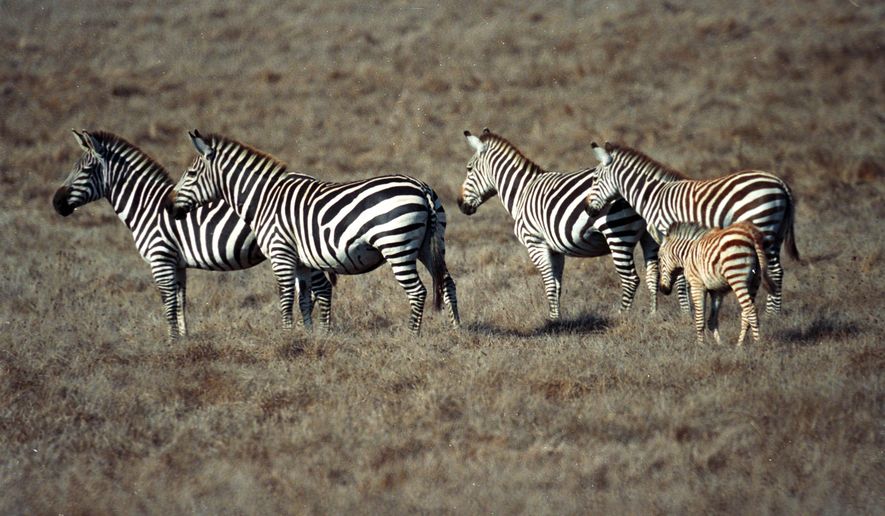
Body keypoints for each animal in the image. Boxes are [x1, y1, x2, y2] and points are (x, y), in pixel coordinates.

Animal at [52, 130, 329, 339]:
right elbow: (179, 300)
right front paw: (184, 338)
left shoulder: (160, 258)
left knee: (321, 288)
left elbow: (167, 300)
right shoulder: (177, 263)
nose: (56, 203)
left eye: (85, 171)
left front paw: (171, 342)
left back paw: (318, 334)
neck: (146, 207)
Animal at [165, 130, 460, 335]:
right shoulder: (301, 261)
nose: (168, 206)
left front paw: (287, 337)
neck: (263, 199)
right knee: (447, 282)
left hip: (397, 246)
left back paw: (413, 335)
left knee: (418, 291)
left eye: (190, 174)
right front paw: (308, 337)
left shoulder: (281, 254)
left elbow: (286, 298)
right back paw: (455, 330)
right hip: (430, 245)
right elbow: (305, 299)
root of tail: (421, 187)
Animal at [459, 129, 659, 321]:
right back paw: (653, 316)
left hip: (618, 232)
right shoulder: (555, 249)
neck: (522, 192)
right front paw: (557, 319)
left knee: (631, 279)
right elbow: (556, 286)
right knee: (653, 275)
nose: (460, 204)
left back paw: (621, 317)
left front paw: (553, 322)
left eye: (469, 168)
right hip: (648, 235)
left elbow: (549, 285)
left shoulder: (535, 243)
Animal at [585, 141, 800, 315]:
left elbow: (679, 276)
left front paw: (686, 313)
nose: (587, 209)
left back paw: (772, 315)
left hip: (764, 228)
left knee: (775, 271)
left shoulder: (670, 233)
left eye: (595, 179)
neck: (653, 196)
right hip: (776, 233)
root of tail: (779, 182)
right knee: (776, 270)